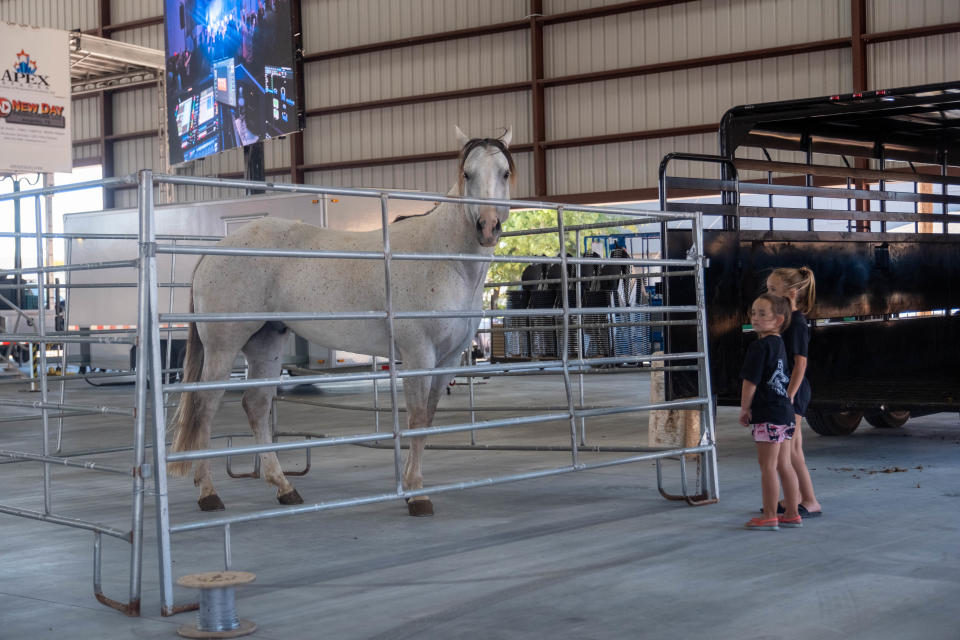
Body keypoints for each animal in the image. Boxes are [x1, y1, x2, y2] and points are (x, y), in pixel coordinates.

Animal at [169, 125, 512, 516]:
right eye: (467, 174)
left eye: (504, 173)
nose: (488, 226)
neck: (442, 259)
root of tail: (212, 252)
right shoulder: (418, 355)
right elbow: (415, 419)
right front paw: (416, 494)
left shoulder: (448, 359)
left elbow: (427, 419)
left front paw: (412, 487)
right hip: (223, 346)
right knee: (205, 406)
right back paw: (208, 493)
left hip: (266, 343)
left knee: (255, 405)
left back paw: (284, 488)